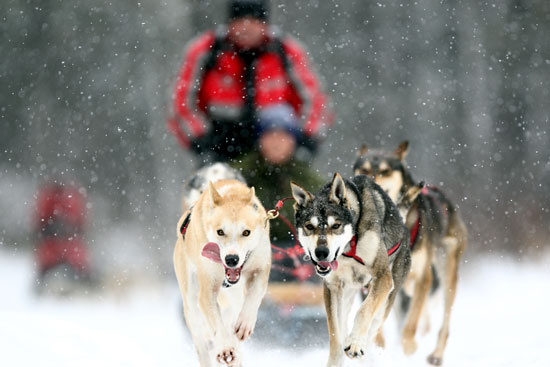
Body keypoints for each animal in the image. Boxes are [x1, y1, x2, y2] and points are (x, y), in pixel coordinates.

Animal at [175, 180, 272, 366]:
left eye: (246, 232)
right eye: (220, 231)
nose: (231, 259)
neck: (232, 195)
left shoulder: (261, 269)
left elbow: (254, 297)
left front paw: (244, 324)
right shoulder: (207, 291)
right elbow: (217, 324)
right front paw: (225, 347)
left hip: (234, 297)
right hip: (190, 302)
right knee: (202, 341)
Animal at [294, 174, 410, 366]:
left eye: (336, 225)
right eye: (309, 226)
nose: (321, 252)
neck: (348, 249)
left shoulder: (382, 277)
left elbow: (364, 311)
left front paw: (355, 342)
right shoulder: (332, 288)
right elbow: (335, 334)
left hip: (387, 298)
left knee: (372, 328)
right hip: (346, 293)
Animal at [356, 142, 468, 366]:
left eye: (385, 171)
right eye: (363, 169)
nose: (370, 184)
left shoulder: (423, 277)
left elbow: (412, 322)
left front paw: (409, 346)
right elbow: (376, 315)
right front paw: (377, 345)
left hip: (447, 273)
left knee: (443, 321)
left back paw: (436, 354)